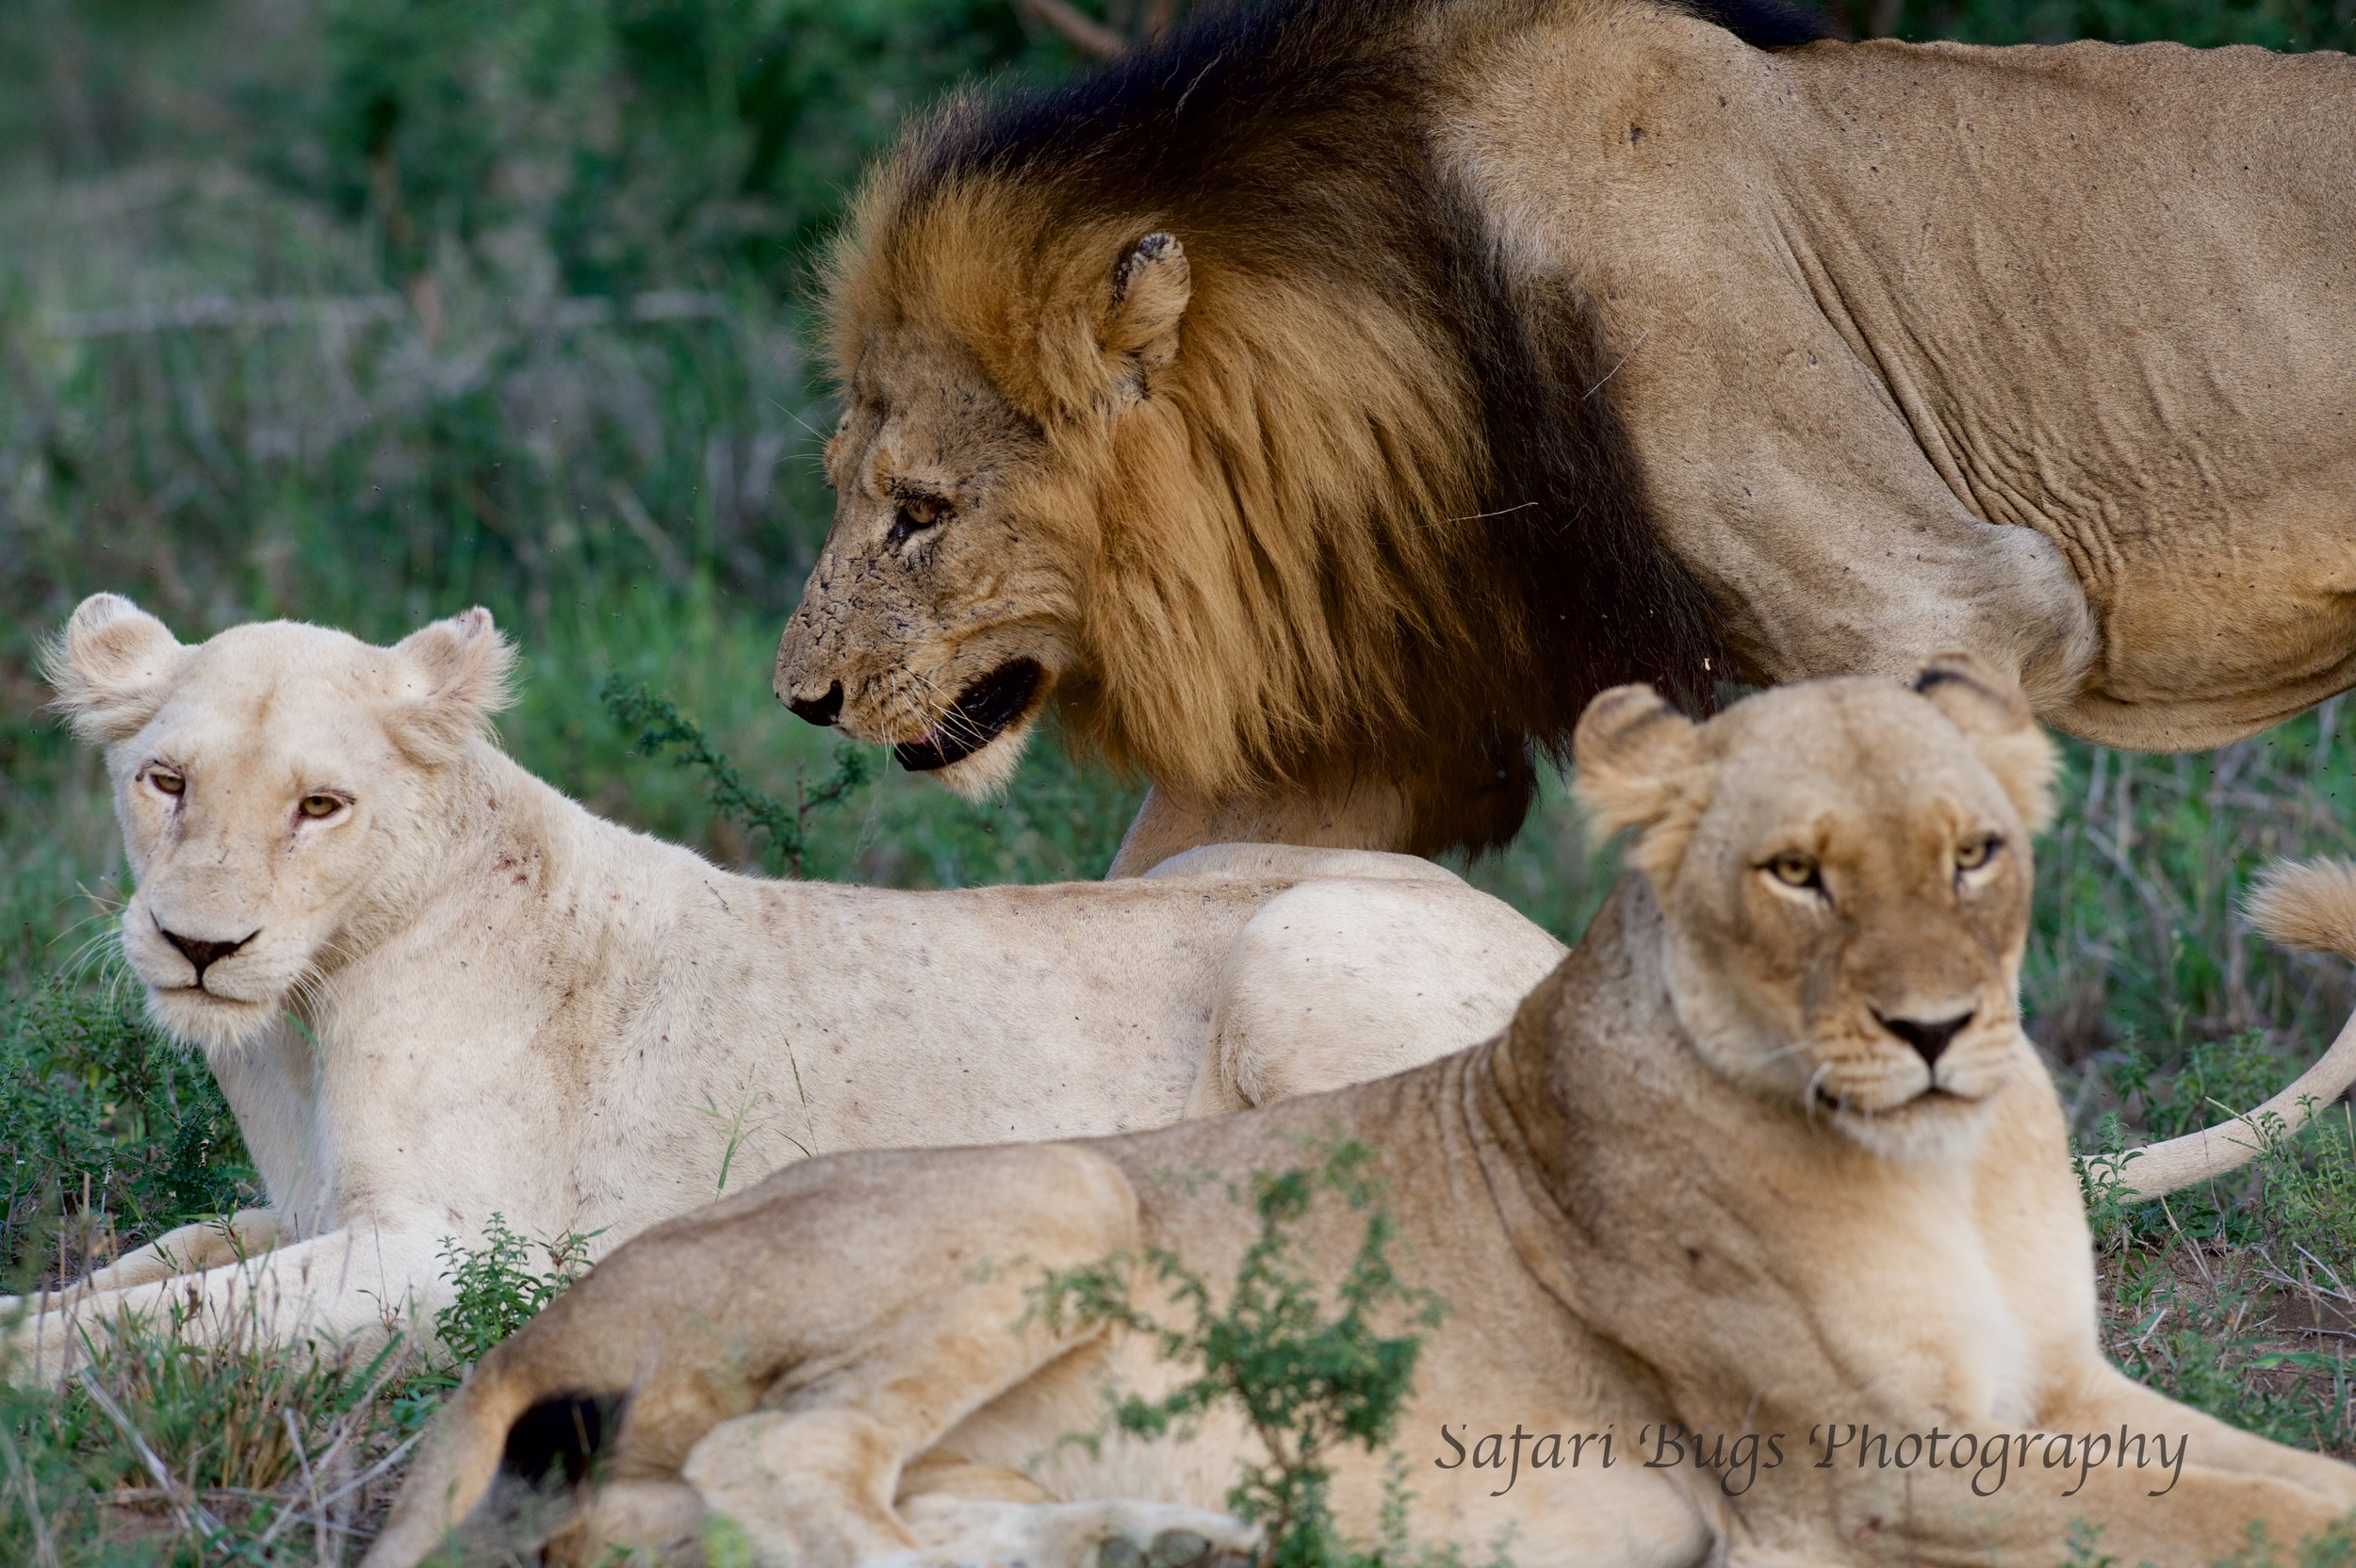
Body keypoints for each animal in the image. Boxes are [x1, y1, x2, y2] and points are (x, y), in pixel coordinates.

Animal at [18, 593, 1574, 1375]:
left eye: (320, 807)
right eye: (166, 782)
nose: (200, 946)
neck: (299, 1026)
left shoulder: (458, 1252)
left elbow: (179, 1319)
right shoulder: (306, 1211)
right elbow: (152, 1265)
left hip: (1295, 937)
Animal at [363, 654, 2356, 1563]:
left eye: (1977, 850)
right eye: (1794, 869)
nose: (1939, 1027)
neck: (1939, 1161)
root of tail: (548, 1314)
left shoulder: (2058, 1394)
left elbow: (2286, 1470)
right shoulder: (1855, 1479)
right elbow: (2251, 1514)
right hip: (1067, 1192)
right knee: (767, 1474)